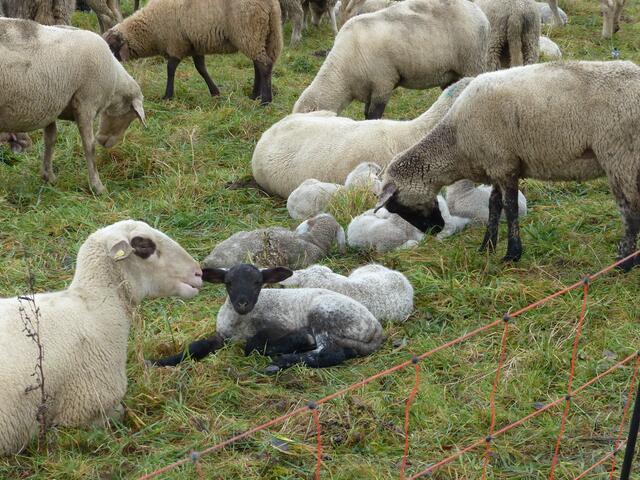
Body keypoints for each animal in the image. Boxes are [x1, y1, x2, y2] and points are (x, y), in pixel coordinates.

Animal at [0, 19, 145, 194]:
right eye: (131, 114)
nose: (104, 142)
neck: (115, 82)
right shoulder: (86, 102)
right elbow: (89, 146)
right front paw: (97, 187)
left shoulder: (51, 104)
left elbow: (50, 139)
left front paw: (48, 176)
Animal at [103, 0, 283, 105]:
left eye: (111, 47)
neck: (151, 28)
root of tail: (270, 6)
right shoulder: (195, 45)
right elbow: (201, 68)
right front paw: (215, 92)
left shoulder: (176, 44)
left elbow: (170, 69)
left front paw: (167, 96)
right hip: (266, 34)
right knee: (258, 64)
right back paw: (254, 96)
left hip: (249, 31)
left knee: (264, 64)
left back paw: (265, 101)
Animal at [151, 264, 385, 372]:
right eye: (229, 283)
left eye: (258, 283)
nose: (242, 303)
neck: (240, 323)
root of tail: (376, 328)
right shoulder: (221, 335)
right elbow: (196, 347)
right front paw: (159, 362)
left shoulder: (277, 327)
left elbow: (253, 345)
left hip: (324, 314)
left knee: (330, 352)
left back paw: (281, 361)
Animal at [292, 0, 489, 119]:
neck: (342, 75)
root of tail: (478, 11)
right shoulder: (370, 89)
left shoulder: (383, 84)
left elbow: (373, 116)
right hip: (450, 73)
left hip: (473, 63)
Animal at [376, 61, 640, 271]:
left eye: (397, 206)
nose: (435, 230)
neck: (456, 142)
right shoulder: (496, 165)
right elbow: (494, 205)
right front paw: (487, 247)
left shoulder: (505, 165)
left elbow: (510, 208)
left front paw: (512, 254)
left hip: (619, 156)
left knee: (629, 210)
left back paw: (624, 263)